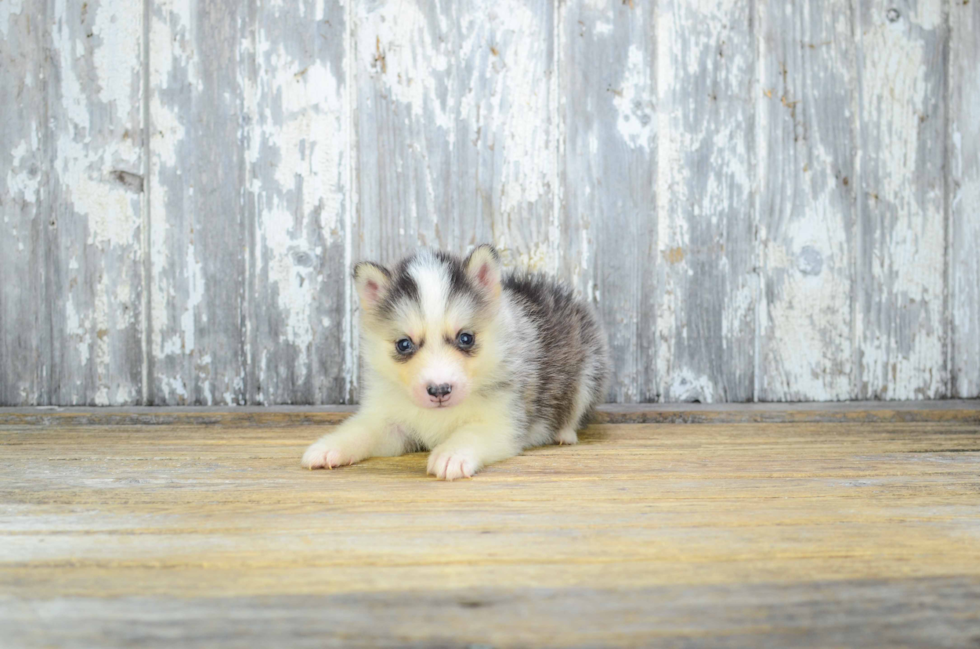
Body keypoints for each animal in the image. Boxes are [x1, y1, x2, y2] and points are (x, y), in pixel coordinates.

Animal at [300, 246, 604, 478]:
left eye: (466, 338)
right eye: (404, 344)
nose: (439, 390)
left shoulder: (503, 422)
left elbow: (471, 433)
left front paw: (451, 454)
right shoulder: (390, 423)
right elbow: (361, 430)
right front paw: (329, 447)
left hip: (589, 369)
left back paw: (564, 433)